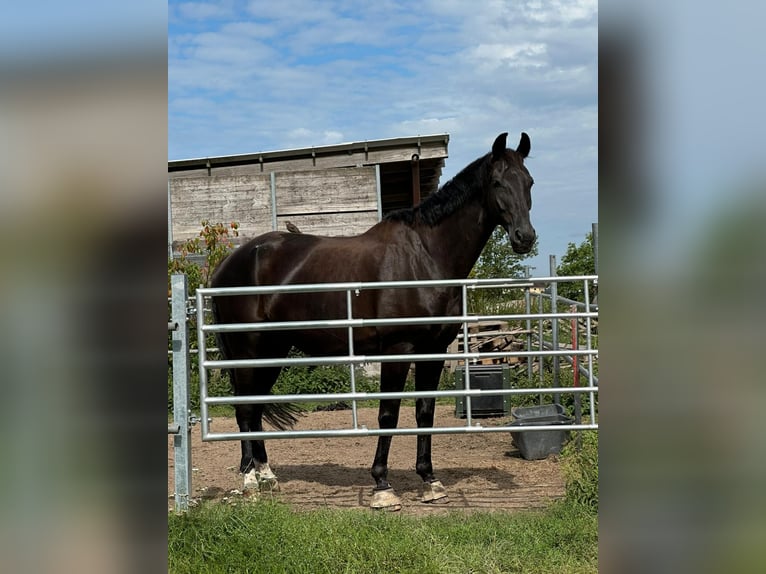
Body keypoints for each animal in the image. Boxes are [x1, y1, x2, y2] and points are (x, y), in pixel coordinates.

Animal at [210, 132, 536, 510]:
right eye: (497, 182)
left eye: (528, 182)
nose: (525, 237)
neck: (425, 258)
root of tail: (228, 264)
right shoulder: (398, 349)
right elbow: (388, 414)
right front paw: (382, 486)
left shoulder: (434, 351)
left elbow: (424, 412)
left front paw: (430, 481)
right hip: (249, 349)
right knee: (246, 408)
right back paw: (249, 479)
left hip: (272, 350)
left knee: (256, 405)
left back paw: (266, 476)